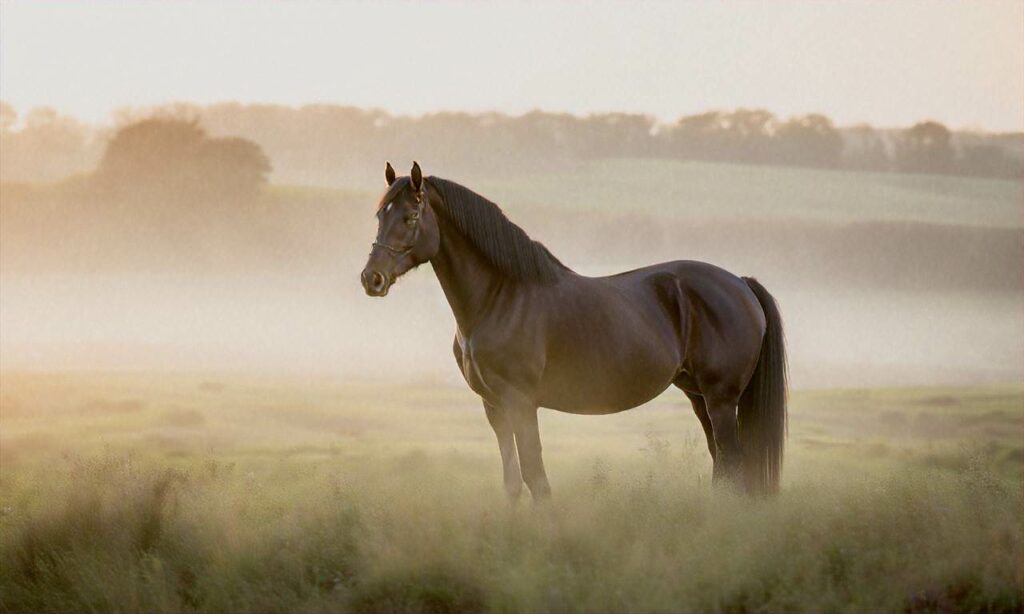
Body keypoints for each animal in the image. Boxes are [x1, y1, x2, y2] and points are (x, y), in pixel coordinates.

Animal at [364, 161, 786, 499]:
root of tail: (739, 282)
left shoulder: (521, 402)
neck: (499, 298)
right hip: (698, 395)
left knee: (733, 462)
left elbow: (536, 476)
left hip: (721, 399)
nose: (372, 278)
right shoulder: (494, 407)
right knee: (722, 462)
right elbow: (512, 480)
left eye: (411, 217)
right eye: (380, 215)